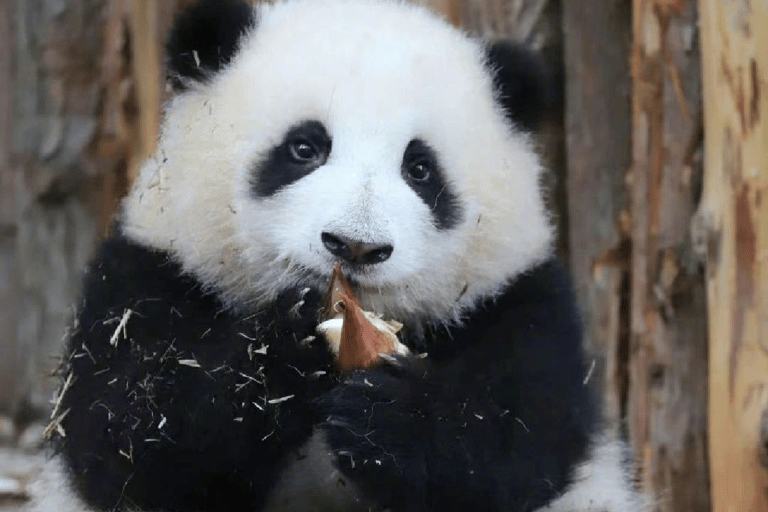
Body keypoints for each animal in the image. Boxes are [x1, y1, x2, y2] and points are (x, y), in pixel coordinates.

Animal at [31, 0, 649, 511]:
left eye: (420, 168)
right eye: (305, 147)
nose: (355, 245)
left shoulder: (521, 302)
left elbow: (516, 440)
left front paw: (387, 420)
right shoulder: (149, 272)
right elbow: (128, 433)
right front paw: (279, 357)